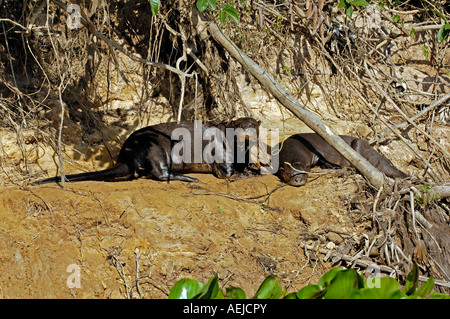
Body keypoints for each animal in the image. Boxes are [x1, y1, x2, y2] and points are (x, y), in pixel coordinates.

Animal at [33, 121, 234, 185]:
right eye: (216, 159)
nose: (228, 171)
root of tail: (127, 157)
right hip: (154, 148)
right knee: (160, 173)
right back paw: (188, 178)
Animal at [278, 133, 408, 188]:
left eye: (304, 174)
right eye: (290, 175)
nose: (299, 180)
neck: (295, 147)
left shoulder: (315, 152)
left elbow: (323, 160)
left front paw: (333, 166)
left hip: (359, 145)